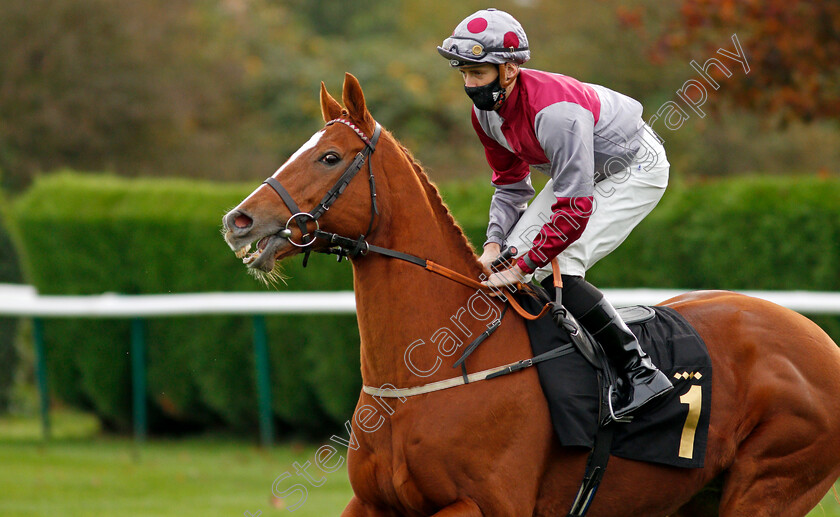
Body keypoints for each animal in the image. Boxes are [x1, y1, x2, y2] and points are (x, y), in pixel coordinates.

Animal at [223, 73, 840, 516]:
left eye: (329, 157)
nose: (238, 221)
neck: (431, 371)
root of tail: (819, 340)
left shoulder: (484, 504)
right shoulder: (372, 504)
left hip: (770, 484)